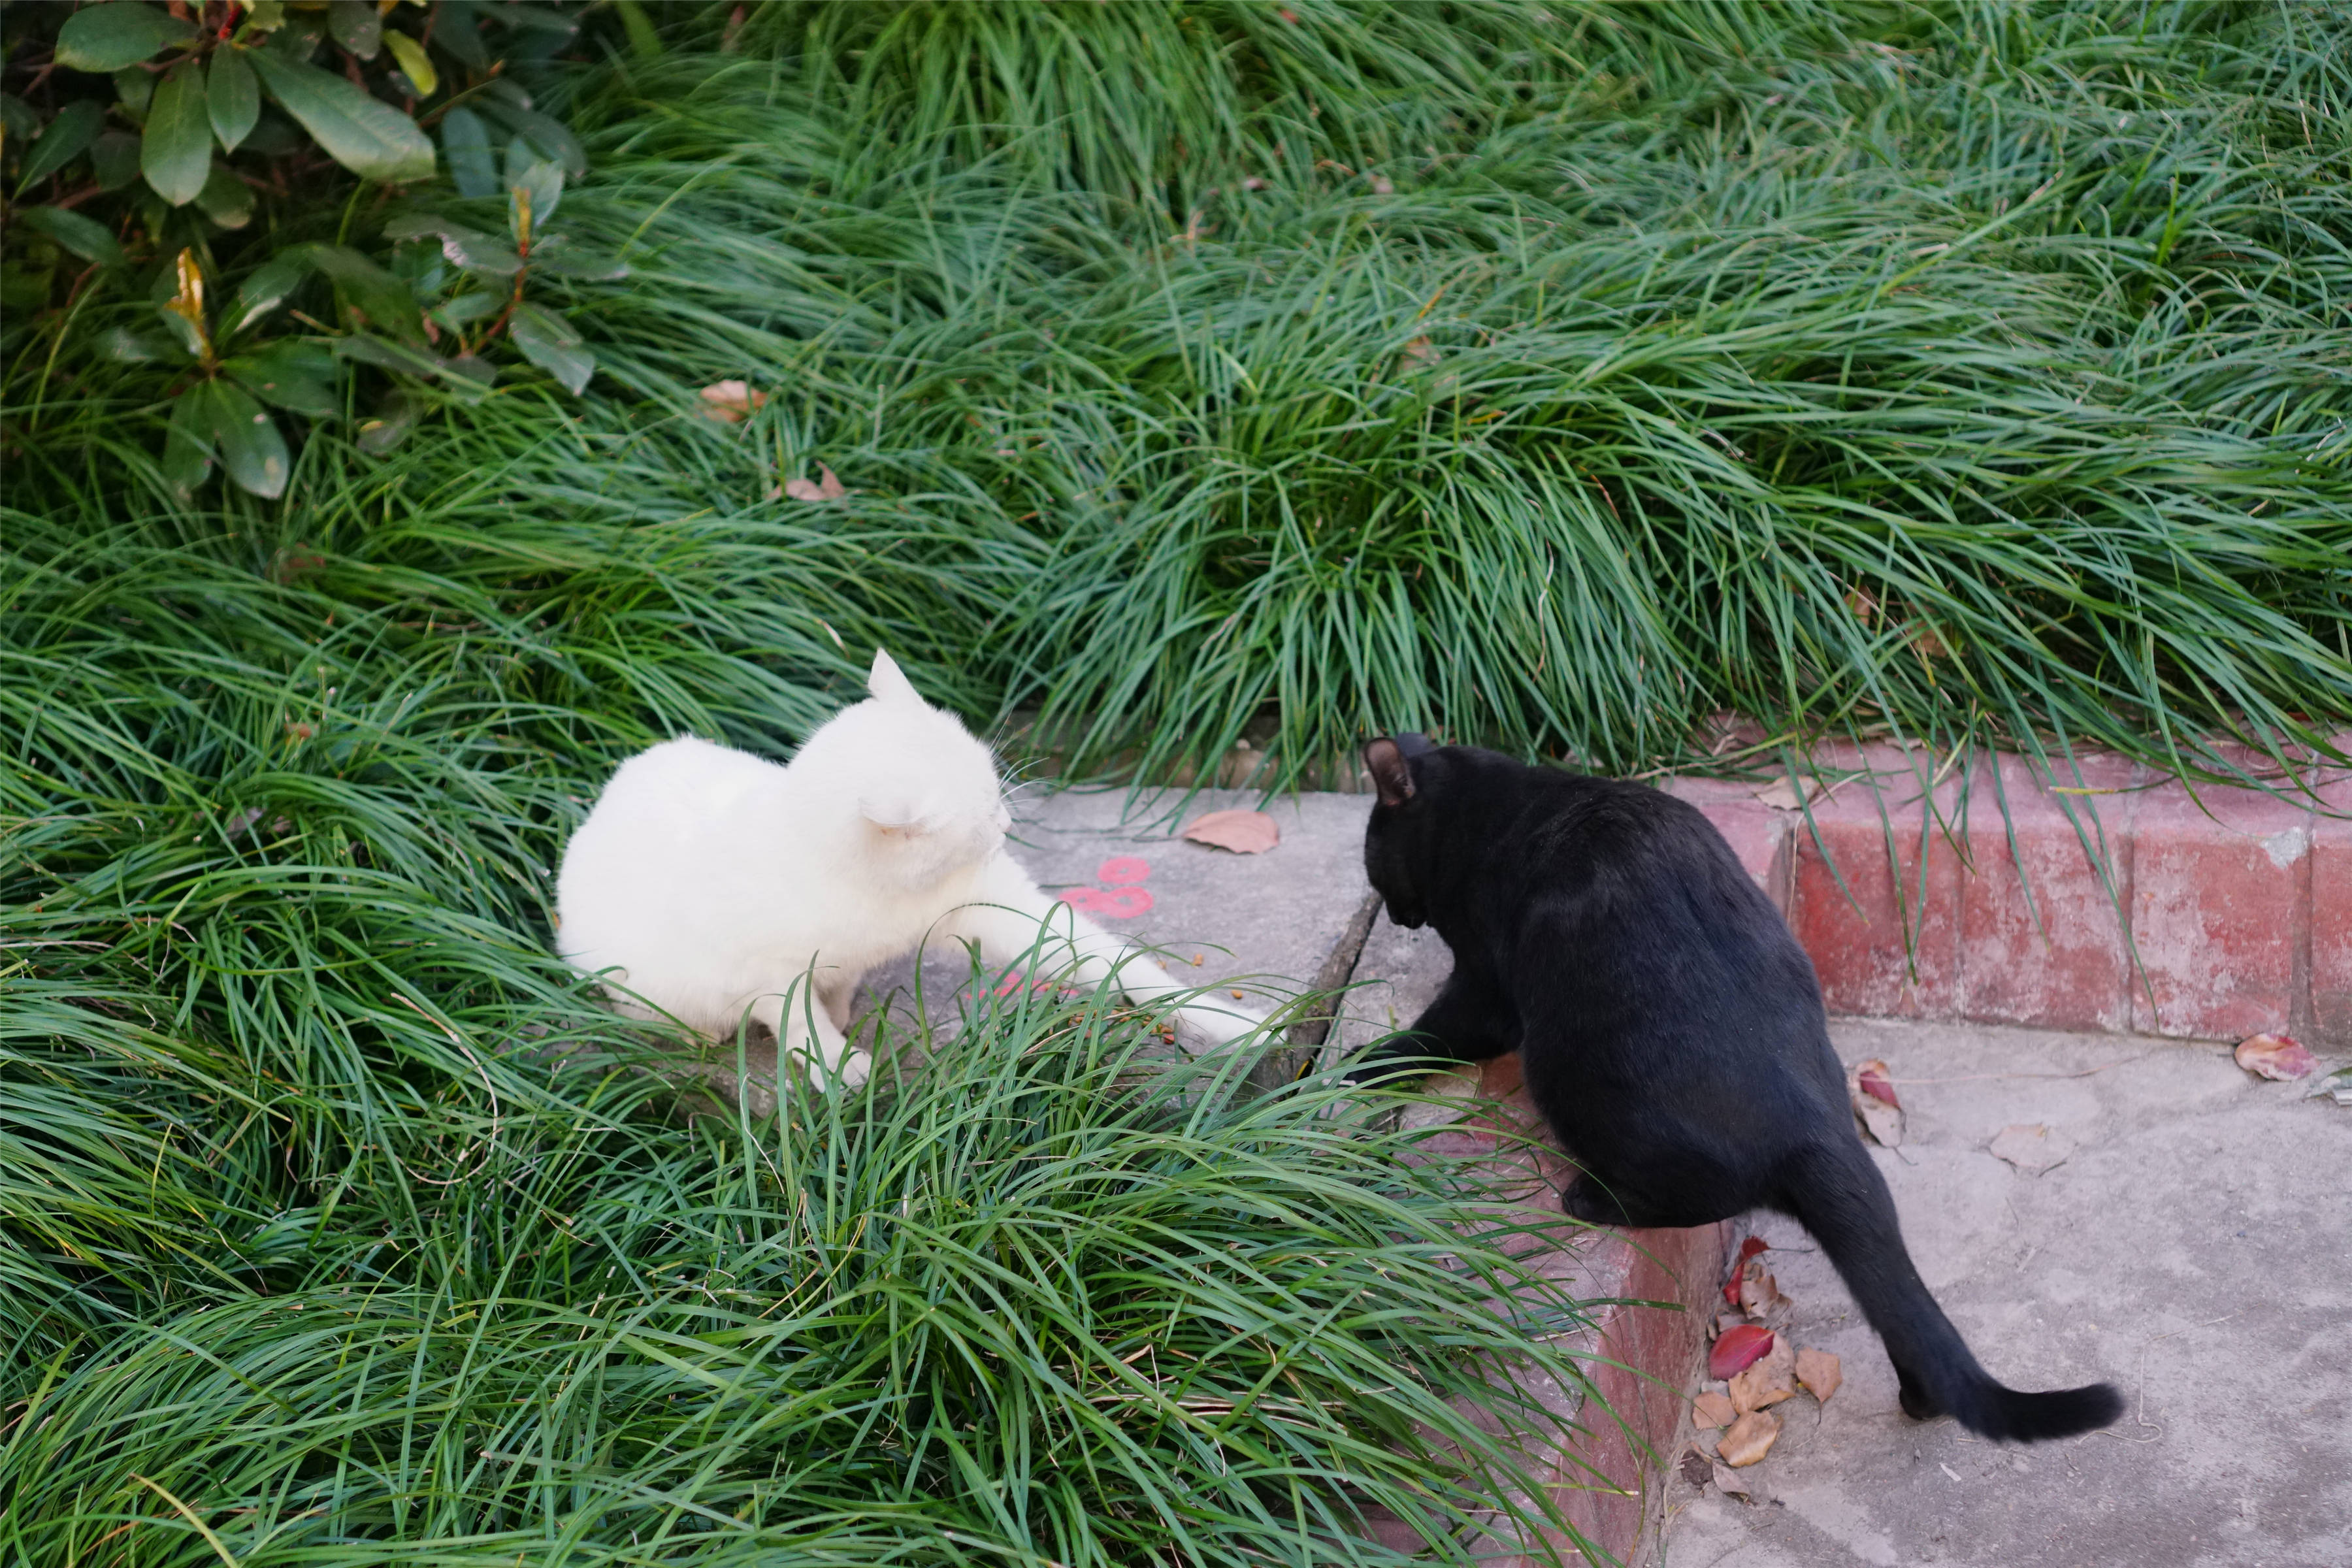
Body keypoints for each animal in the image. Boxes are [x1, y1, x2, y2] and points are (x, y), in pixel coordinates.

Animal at [555, 649, 1270, 1090]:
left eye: (995, 791)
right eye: (982, 813)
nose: (1005, 826)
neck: (879, 896)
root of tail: (605, 798)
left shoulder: (991, 905)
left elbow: (1114, 962)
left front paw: (1231, 1022)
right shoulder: (766, 972)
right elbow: (797, 1019)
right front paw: (838, 1066)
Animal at [1345, 738, 2135, 1448]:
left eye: (1375, 867)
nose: (1396, 916)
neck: (1501, 808)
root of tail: (1814, 1124)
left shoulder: (1485, 986)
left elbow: (1431, 1034)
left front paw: (1357, 1068)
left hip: (1564, 1067)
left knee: (1699, 1195)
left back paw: (1591, 1198)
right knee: (1896, 1305)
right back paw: (1921, 1398)